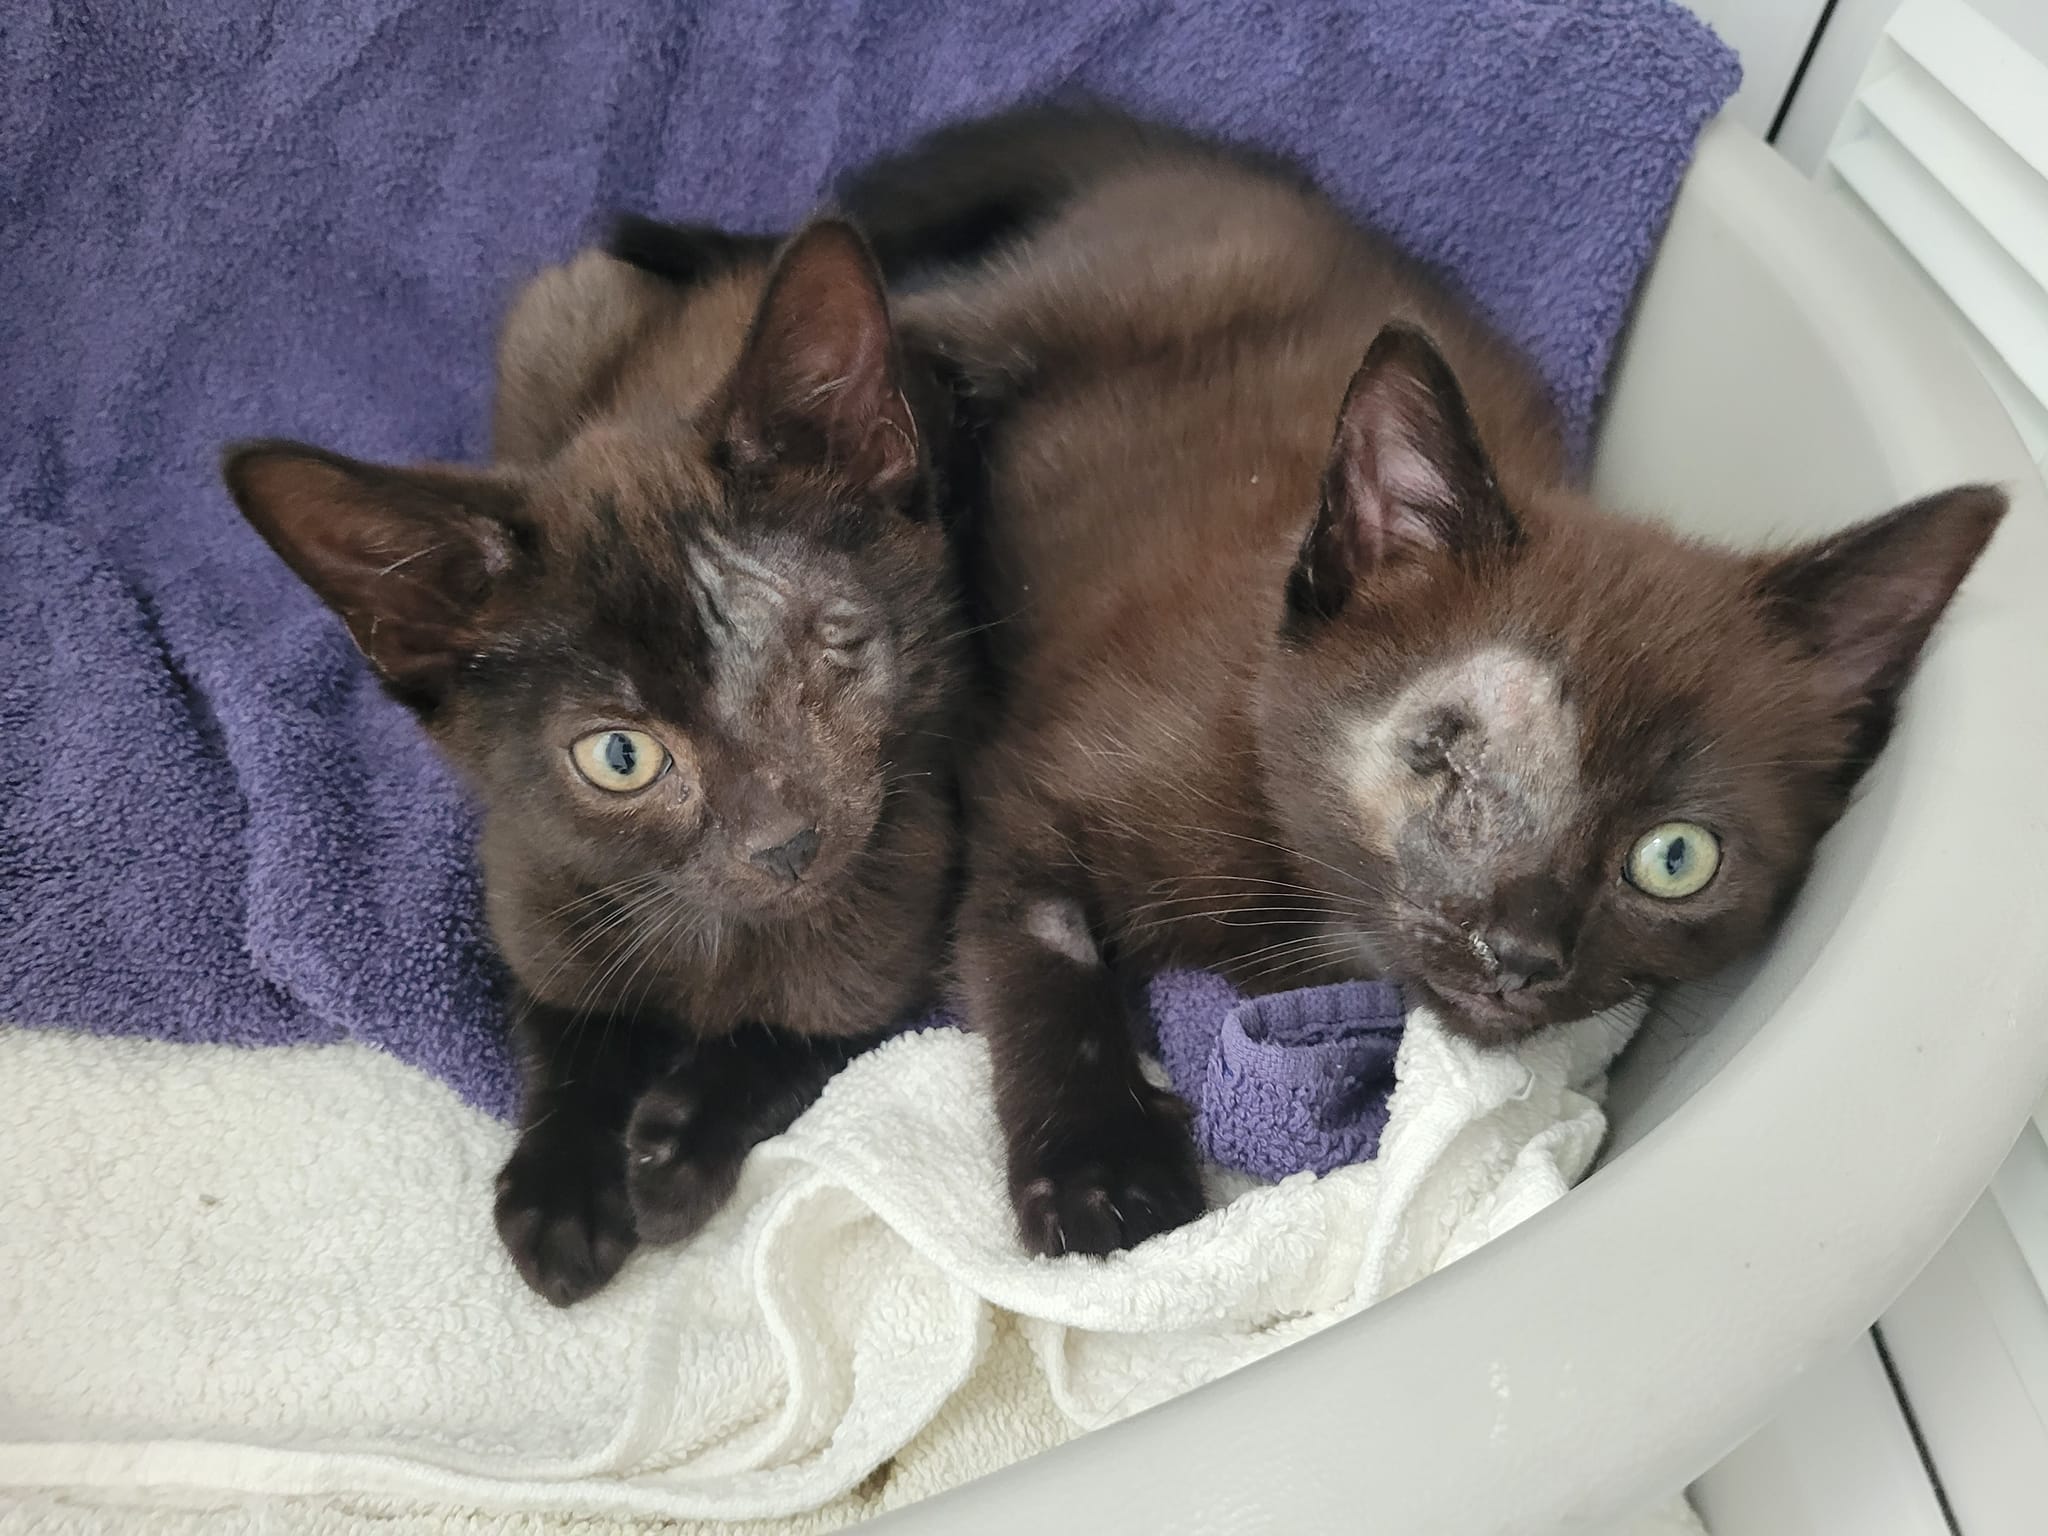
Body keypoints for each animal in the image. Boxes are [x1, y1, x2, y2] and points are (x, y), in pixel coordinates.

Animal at [220, 217, 970, 1302]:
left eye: (826, 649)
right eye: (621, 757)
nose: (784, 844)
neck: (711, 933)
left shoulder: (905, 900)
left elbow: (805, 1034)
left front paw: (674, 1145)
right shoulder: (531, 878)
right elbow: (566, 1023)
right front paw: (563, 1188)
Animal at [839, 108, 2007, 1261]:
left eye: (1676, 858)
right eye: (1446, 753)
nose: (1522, 952)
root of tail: (1238, 170)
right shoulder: (1023, 781)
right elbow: (1040, 947)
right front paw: (1100, 1170)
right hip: (1061, 305)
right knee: (929, 313)